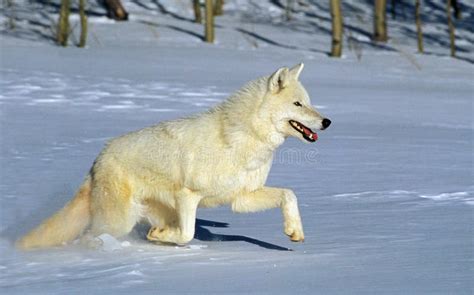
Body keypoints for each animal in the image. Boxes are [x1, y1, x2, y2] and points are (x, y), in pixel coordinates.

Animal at [17, 64, 330, 250]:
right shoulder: (188, 195)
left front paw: (294, 232)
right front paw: (160, 237)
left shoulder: (242, 198)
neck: (241, 138)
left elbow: (289, 195)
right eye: (298, 104)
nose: (327, 121)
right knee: (88, 237)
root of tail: (97, 159)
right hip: (119, 221)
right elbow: (187, 233)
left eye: (309, 102)